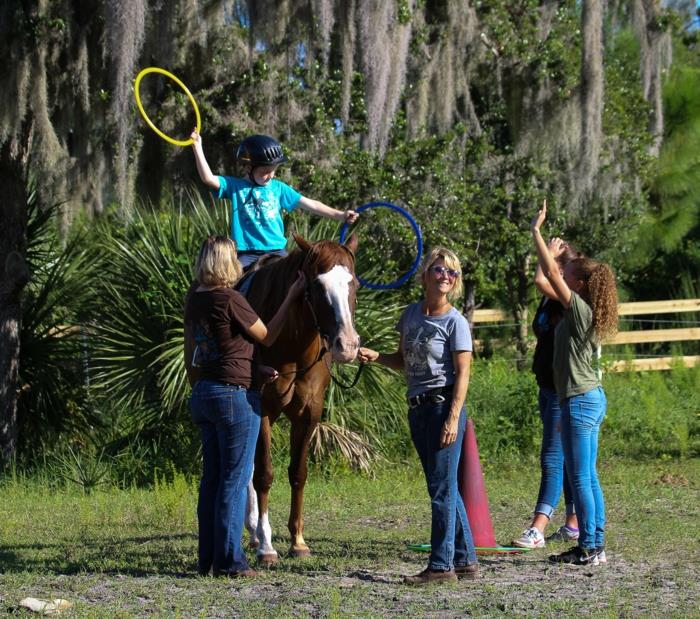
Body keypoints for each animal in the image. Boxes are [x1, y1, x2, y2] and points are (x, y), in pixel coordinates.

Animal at [242, 232, 360, 560]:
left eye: (355, 284)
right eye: (316, 286)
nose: (347, 345)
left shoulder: (309, 415)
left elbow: (298, 472)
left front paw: (297, 540)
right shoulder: (261, 410)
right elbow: (264, 475)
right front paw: (267, 545)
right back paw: (254, 531)